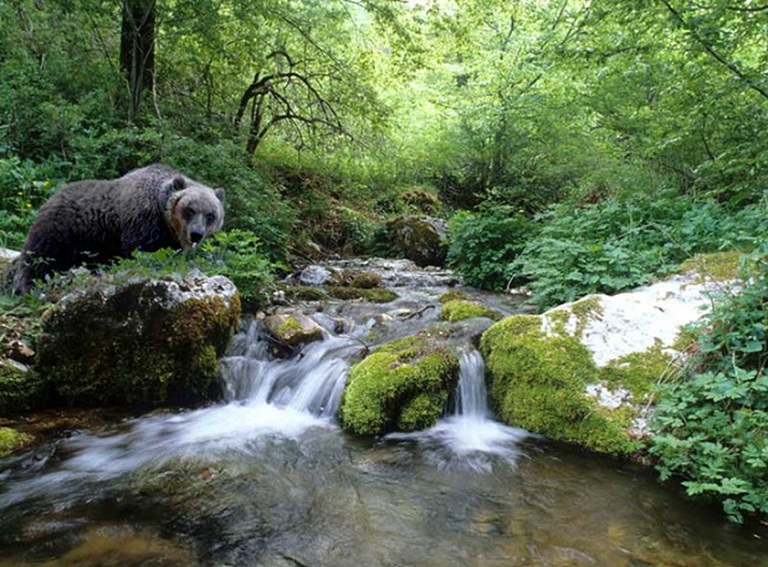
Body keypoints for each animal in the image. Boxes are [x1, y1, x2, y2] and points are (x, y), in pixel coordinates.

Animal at [9, 164, 225, 294]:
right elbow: (140, 251)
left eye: (210, 214)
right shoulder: (142, 222)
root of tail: (49, 199)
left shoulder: (168, 238)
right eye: (190, 209)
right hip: (60, 232)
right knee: (39, 260)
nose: (196, 234)